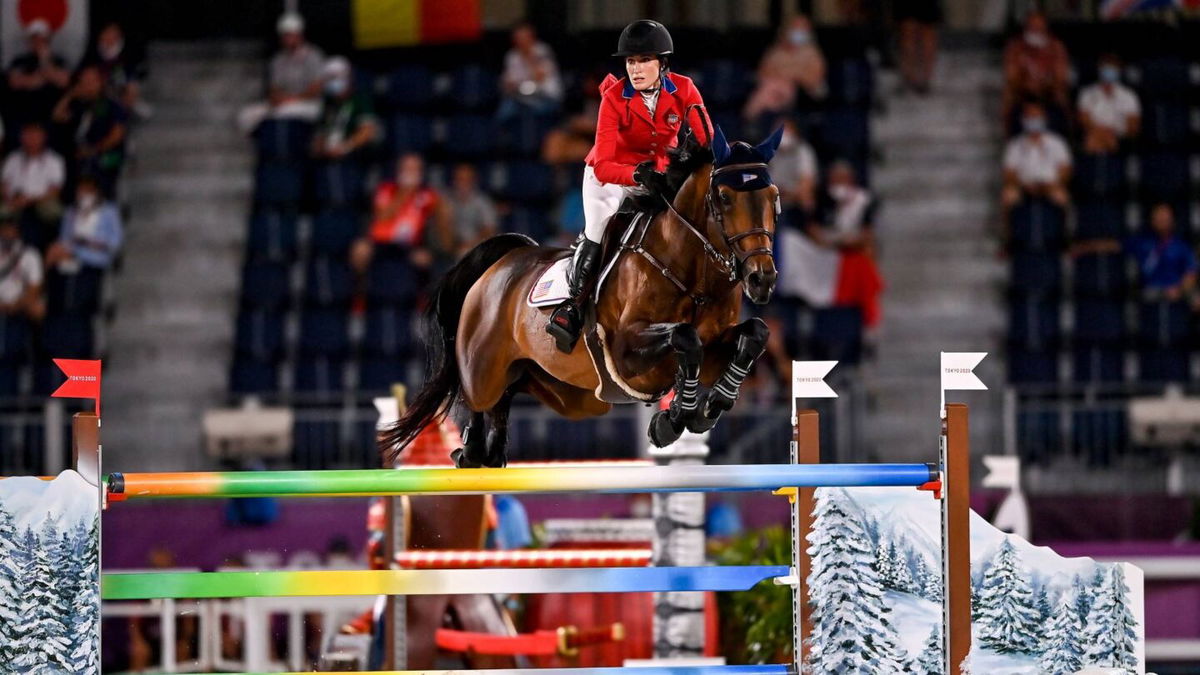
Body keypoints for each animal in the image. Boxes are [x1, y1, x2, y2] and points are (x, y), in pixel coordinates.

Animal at [379, 123, 782, 466]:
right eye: (725, 197)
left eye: (773, 197)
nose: (761, 279)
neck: (691, 272)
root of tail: (504, 261)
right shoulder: (626, 351)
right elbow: (685, 337)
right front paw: (672, 421)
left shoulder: (714, 345)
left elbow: (753, 333)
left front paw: (709, 407)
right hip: (483, 366)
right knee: (476, 395)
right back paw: (472, 450)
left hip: (562, 391)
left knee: (508, 393)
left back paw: (491, 452)